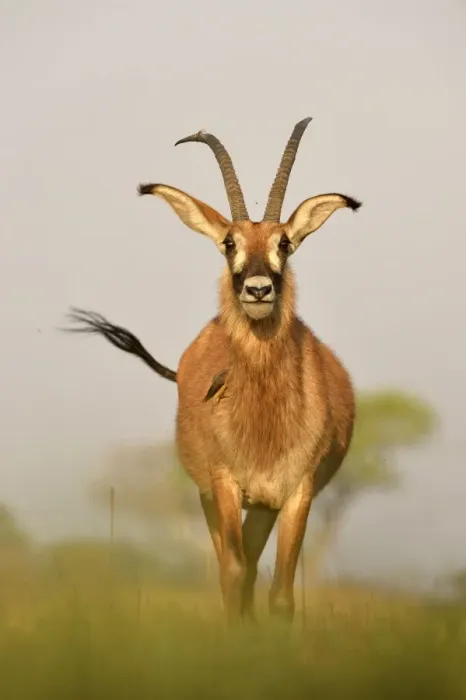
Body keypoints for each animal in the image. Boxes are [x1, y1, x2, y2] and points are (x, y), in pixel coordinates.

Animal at [67, 117, 361, 622]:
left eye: (284, 242)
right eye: (229, 242)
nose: (258, 290)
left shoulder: (294, 493)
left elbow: (280, 593)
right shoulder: (224, 485)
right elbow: (234, 571)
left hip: (262, 506)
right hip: (211, 495)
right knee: (233, 564)